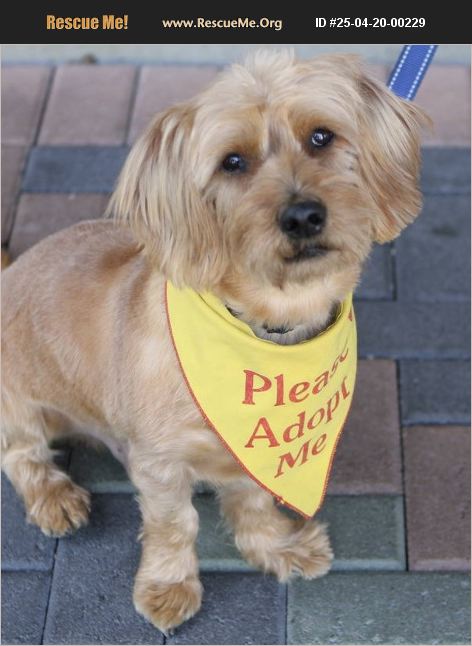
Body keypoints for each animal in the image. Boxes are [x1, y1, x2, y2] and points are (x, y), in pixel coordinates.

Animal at [1, 50, 427, 633]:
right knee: (21, 456)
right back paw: (54, 496)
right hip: (17, 405)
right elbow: (174, 524)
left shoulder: (250, 455)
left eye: (321, 137)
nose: (303, 215)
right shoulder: (158, 463)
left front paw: (276, 548)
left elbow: (254, 502)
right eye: (233, 162)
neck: (265, 326)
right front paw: (168, 585)